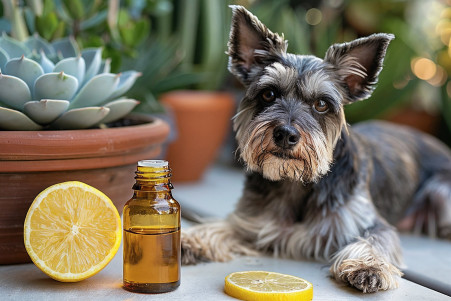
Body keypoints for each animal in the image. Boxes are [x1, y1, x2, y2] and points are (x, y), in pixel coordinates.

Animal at [180, 5, 451, 292]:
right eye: (268, 94)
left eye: (321, 104)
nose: (285, 134)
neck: (296, 181)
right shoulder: (252, 222)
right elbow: (220, 226)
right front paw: (189, 240)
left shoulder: (370, 223)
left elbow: (375, 240)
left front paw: (368, 267)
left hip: (440, 192)